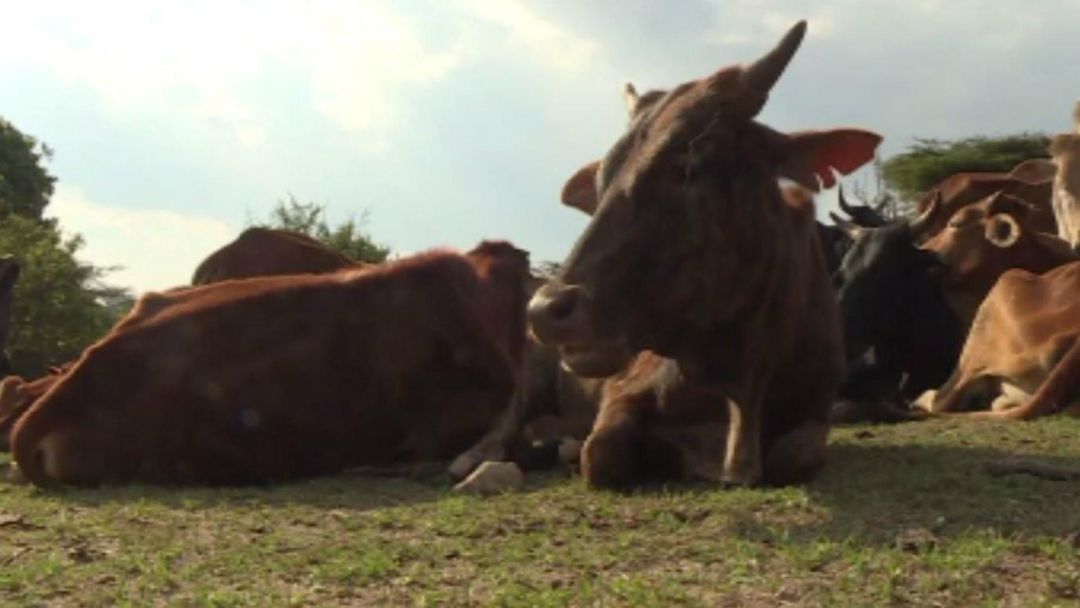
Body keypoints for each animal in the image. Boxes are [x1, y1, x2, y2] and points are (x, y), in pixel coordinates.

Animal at [526, 21, 882, 489]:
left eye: (690, 166)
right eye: (602, 180)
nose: (547, 309)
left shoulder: (817, 406)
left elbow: (796, 455)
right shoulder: (623, 395)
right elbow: (601, 455)